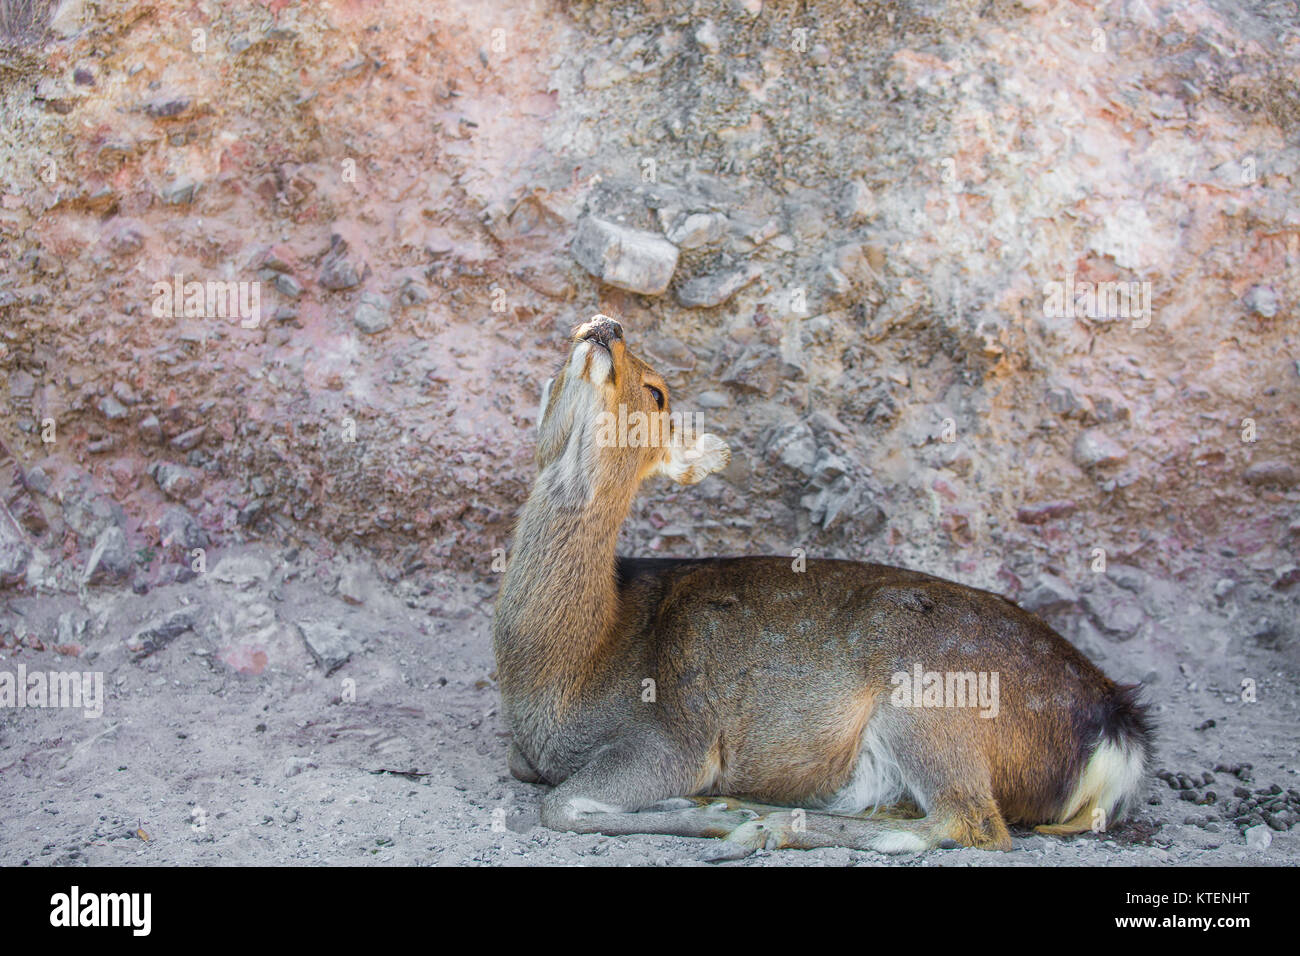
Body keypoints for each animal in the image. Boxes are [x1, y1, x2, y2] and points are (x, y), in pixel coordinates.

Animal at [488, 316, 1149, 858]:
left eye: (657, 392)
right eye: (557, 368)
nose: (605, 325)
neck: (568, 671)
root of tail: (1118, 726)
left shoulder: (674, 737)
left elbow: (560, 805)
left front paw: (712, 811)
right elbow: (528, 774)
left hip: (935, 697)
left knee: (968, 823)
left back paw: (763, 825)